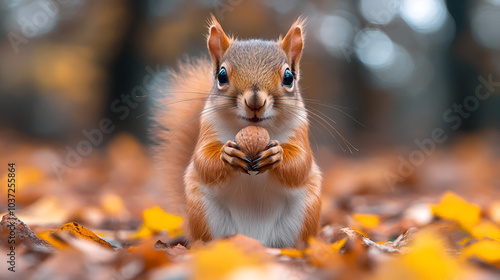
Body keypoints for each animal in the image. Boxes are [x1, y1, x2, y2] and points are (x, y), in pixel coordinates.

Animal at [152, 15, 322, 247]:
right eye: (222, 75)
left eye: (288, 77)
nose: (255, 102)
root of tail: (254, 240)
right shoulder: (208, 127)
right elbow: (202, 159)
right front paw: (228, 154)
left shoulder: (299, 129)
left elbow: (301, 163)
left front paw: (276, 154)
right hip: (203, 212)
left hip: (305, 213)